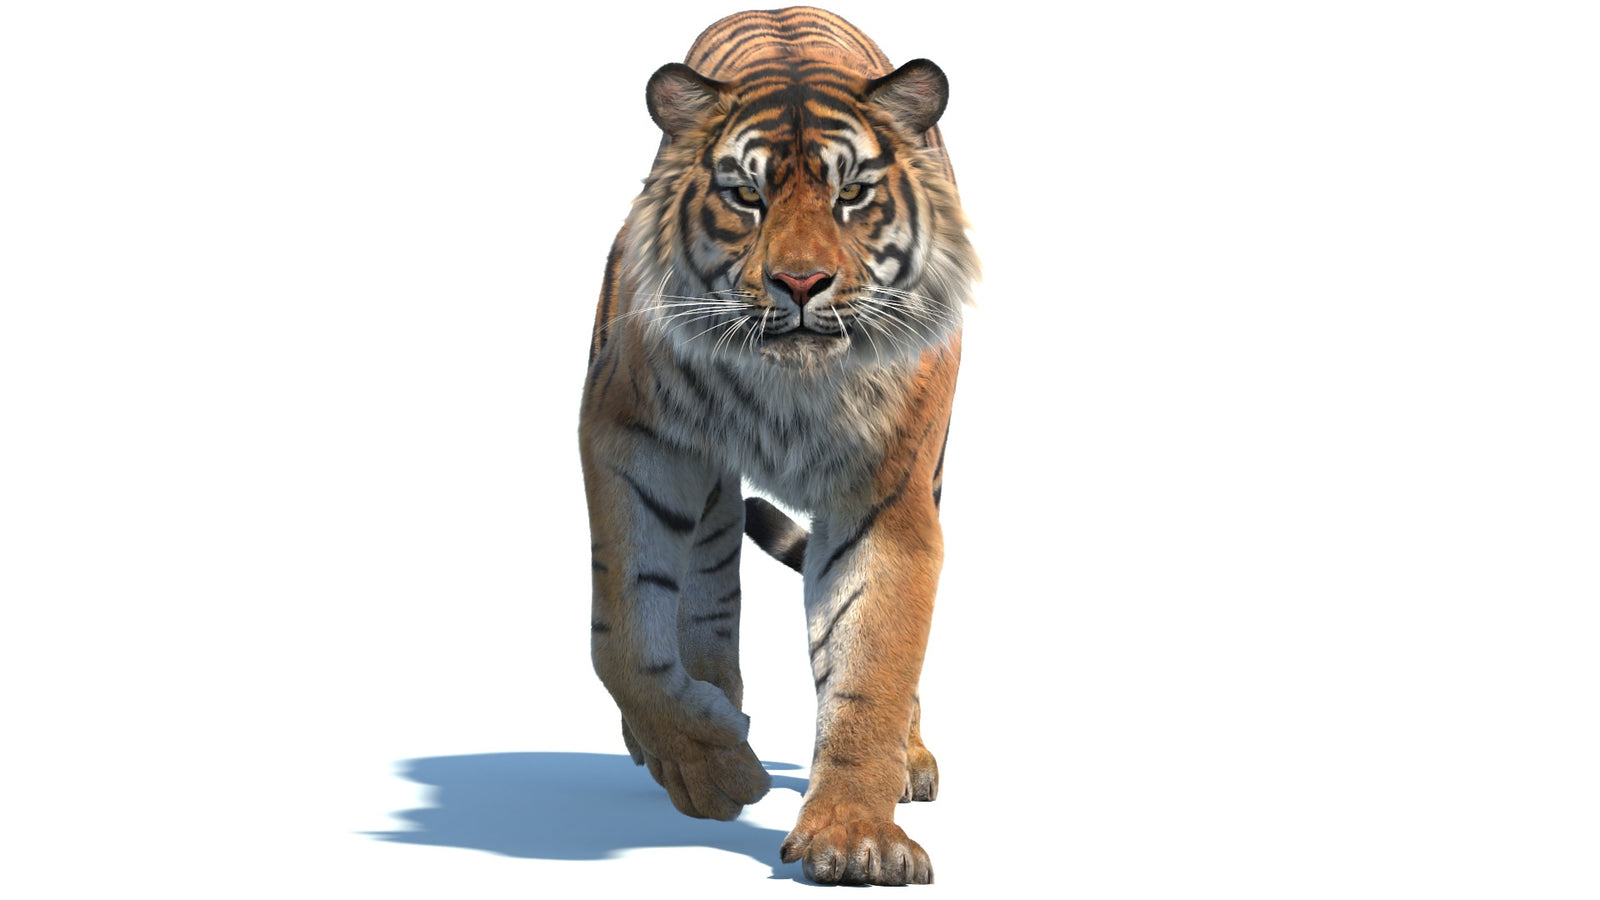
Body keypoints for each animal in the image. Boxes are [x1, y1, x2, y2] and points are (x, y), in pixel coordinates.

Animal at [578, 6, 978, 886]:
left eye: (852, 194)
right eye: (745, 196)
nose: (799, 284)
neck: (786, 386)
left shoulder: (887, 494)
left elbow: (873, 662)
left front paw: (855, 837)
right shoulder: (632, 437)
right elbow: (625, 636)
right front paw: (708, 765)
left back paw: (911, 759)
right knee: (706, 606)